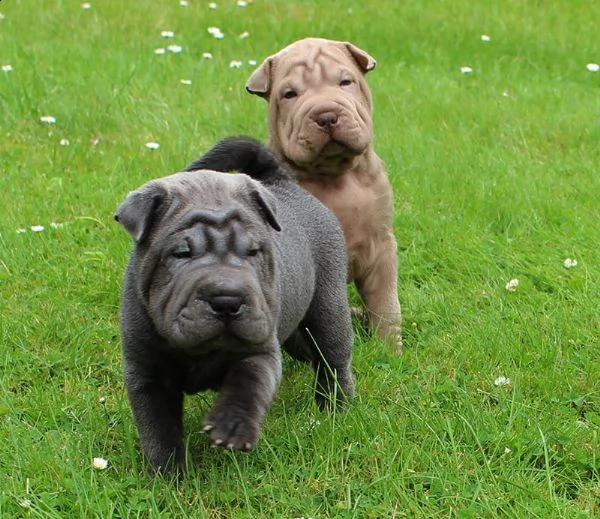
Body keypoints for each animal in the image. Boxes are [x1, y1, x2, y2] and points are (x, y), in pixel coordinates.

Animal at [115, 135, 354, 476]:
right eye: (181, 253)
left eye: (254, 251)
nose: (227, 299)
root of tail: (284, 183)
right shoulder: (147, 374)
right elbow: (158, 429)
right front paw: (168, 476)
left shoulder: (259, 349)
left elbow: (248, 384)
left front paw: (233, 425)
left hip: (328, 305)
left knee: (333, 360)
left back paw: (334, 408)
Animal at [246, 35, 406, 354]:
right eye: (289, 94)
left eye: (345, 81)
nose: (327, 115)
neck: (335, 175)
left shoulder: (381, 245)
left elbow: (386, 304)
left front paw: (390, 352)